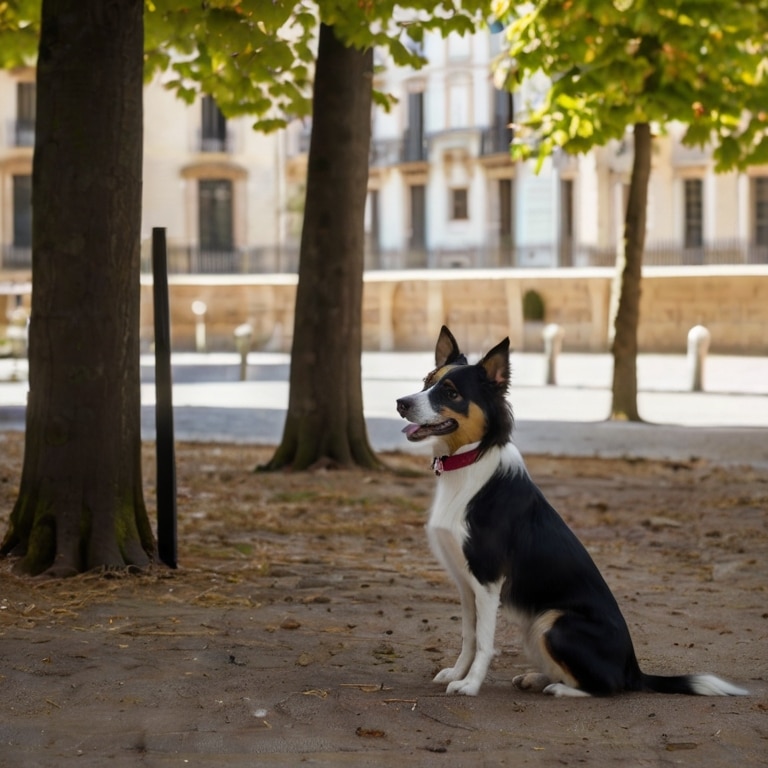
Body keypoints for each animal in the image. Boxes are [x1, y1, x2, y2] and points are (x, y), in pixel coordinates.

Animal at [400, 328, 748, 700]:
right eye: (426, 381)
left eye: (451, 392)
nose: (401, 403)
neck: (470, 461)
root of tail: (634, 670)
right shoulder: (466, 583)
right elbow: (469, 635)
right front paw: (457, 673)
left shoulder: (488, 580)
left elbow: (484, 642)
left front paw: (471, 684)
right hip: (538, 624)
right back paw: (538, 678)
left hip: (554, 620)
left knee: (608, 686)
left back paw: (560, 688)